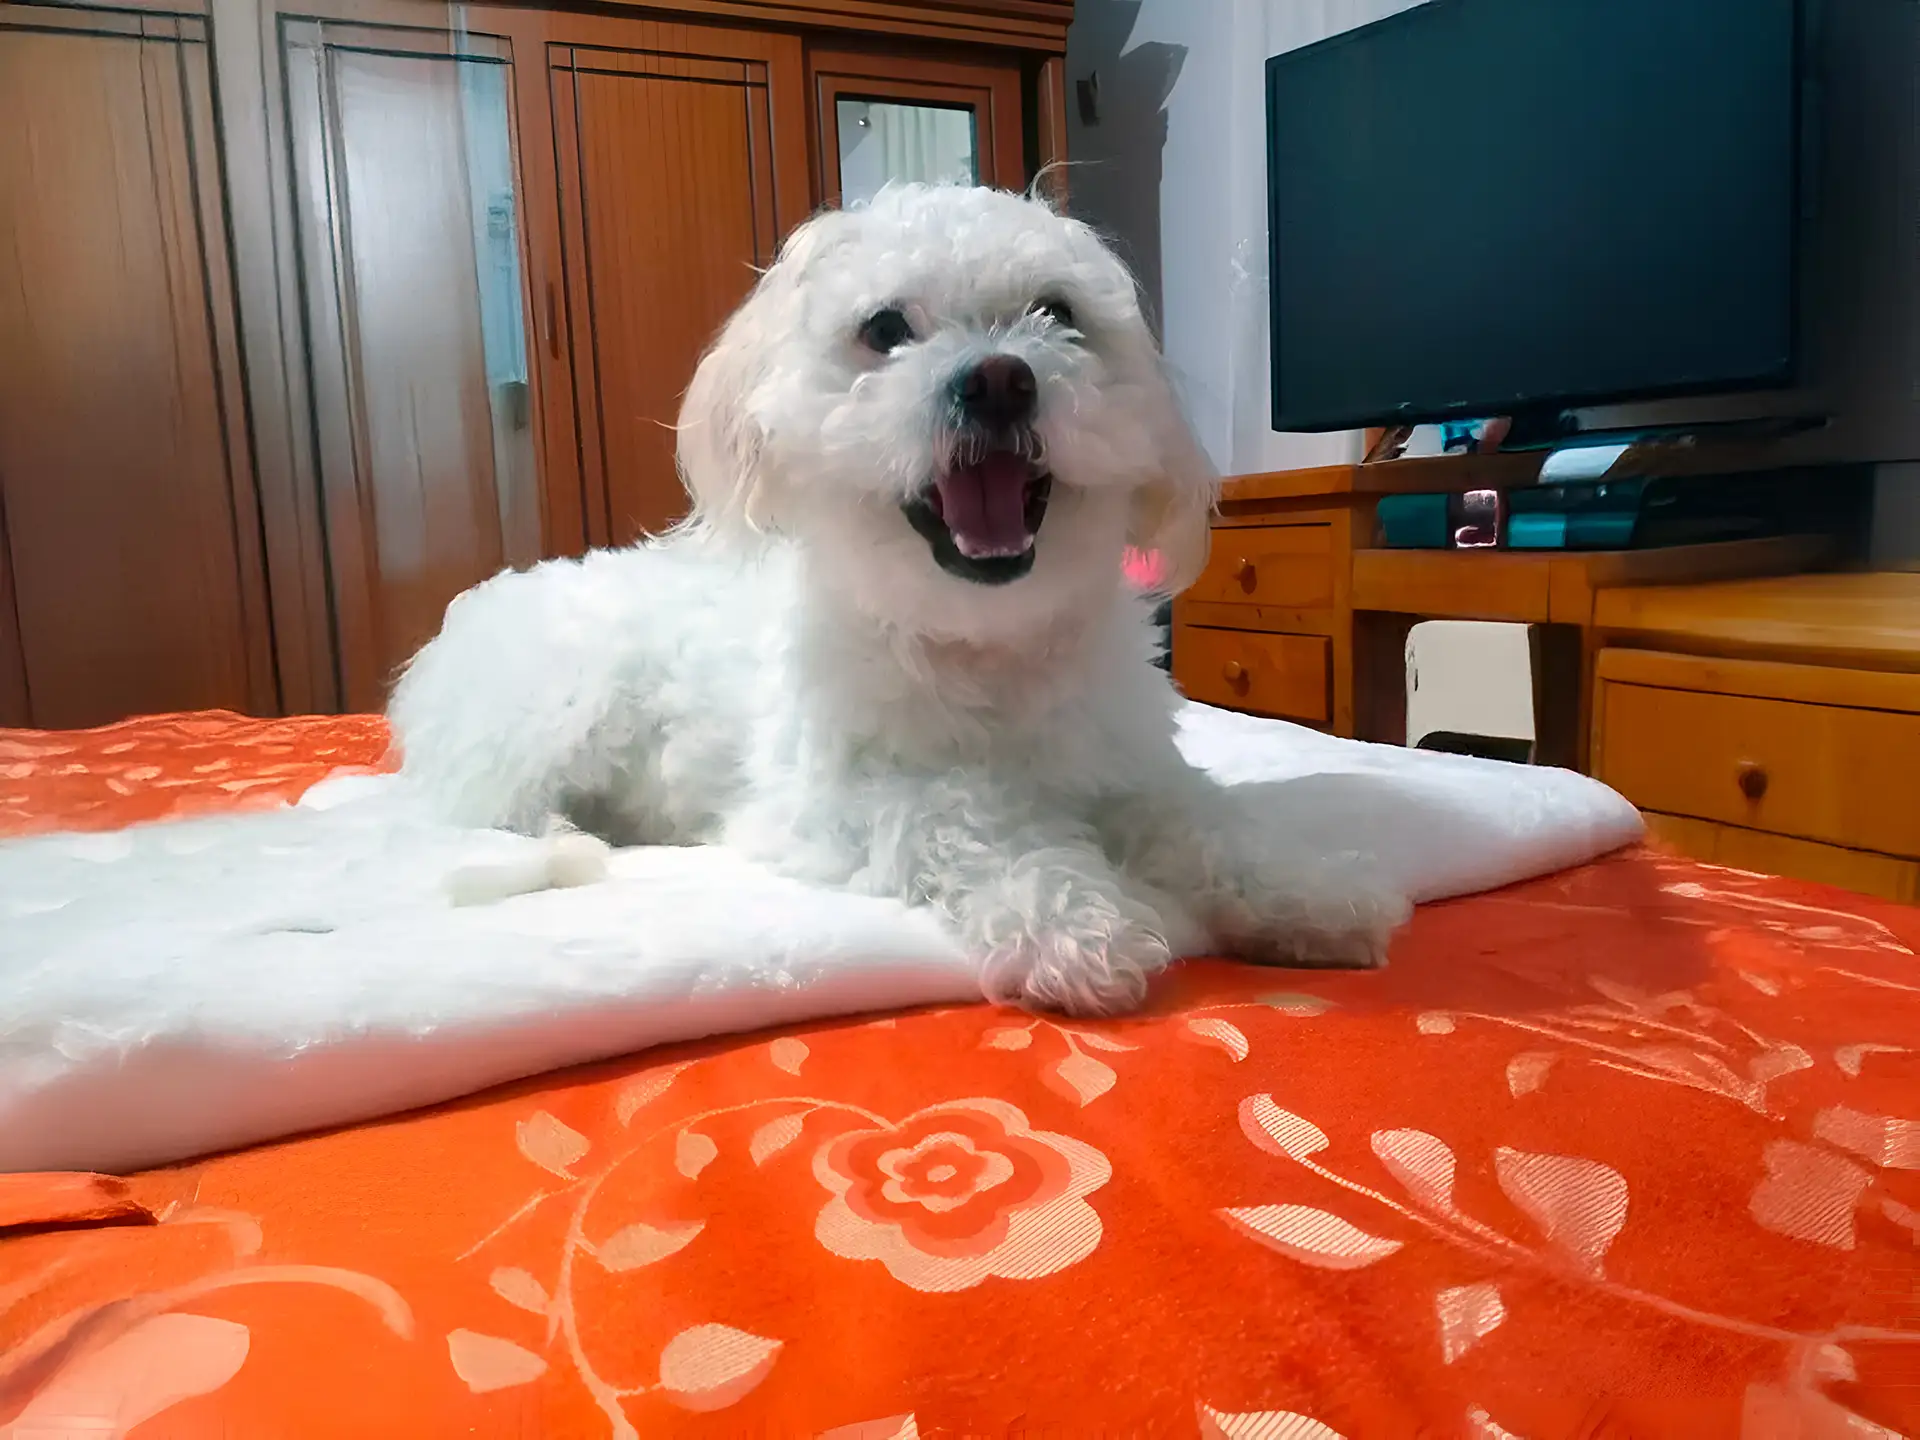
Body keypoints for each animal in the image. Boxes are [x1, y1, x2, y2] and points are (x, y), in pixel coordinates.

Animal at [393, 183, 1413, 1013]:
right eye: (885, 329)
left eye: (1057, 313)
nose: (999, 378)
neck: (985, 644)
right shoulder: (835, 801)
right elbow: (958, 818)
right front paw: (1072, 919)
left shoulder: (1132, 767)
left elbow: (1206, 822)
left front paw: (1303, 887)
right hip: (558, 710)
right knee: (486, 805)